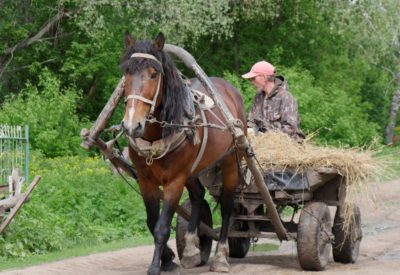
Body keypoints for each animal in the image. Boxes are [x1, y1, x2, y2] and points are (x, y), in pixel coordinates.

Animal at [119, 33, 247, 275]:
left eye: (154, 74)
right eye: (126, 72)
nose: (132, 125)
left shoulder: (175, 181)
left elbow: (161, 227)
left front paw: (156, 267)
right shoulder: (146, 181)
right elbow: (152, 221)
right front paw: (168, 259)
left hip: (231, 161)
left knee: (227, 207)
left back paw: (221, 257)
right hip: (194, 169)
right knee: (197, 196)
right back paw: (190, 250)